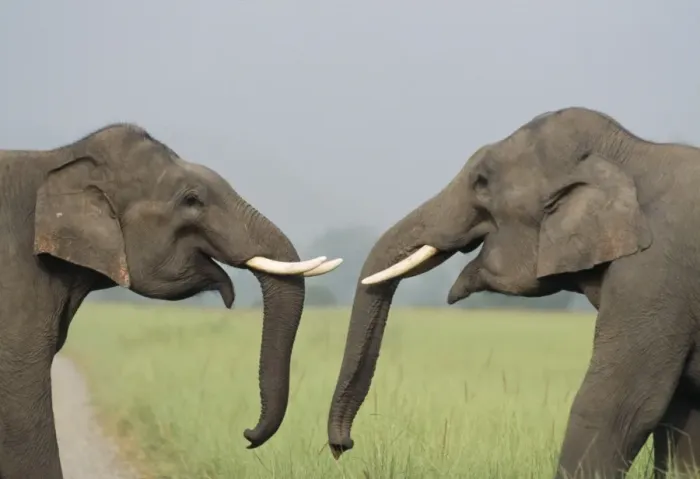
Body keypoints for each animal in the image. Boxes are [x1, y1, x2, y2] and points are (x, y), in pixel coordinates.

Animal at [327, 107, 700, 478]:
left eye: (481, 182)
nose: (343, 446)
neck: (630, 154)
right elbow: (680, 415)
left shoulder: (655, 273)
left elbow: (621, 404)